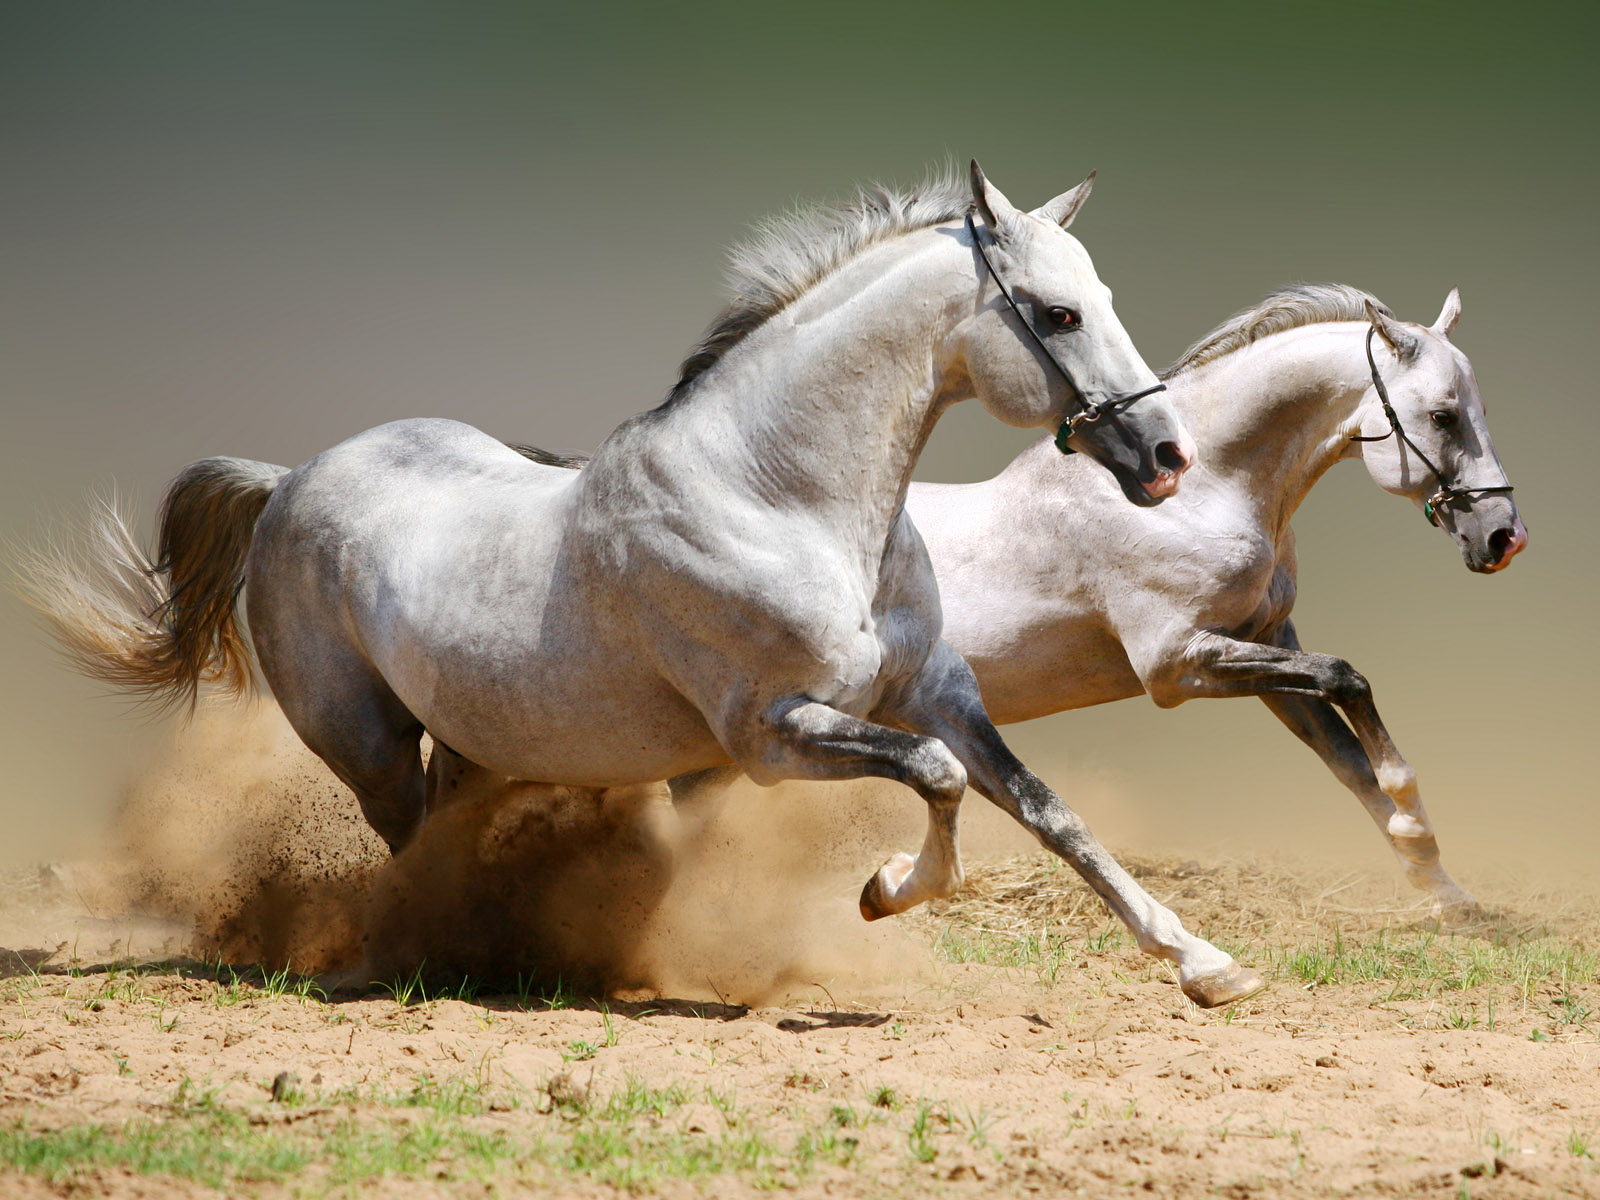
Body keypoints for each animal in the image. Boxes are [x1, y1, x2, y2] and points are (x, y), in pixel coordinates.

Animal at [21, 169, 1273, 1011]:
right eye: (1057, 313)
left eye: (1098, 295)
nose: (1165, 455)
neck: (780, 496)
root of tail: (288, 480)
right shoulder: (770, 735)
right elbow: (937, 782)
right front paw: (882, 890)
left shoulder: (936, 692)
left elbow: (1048, 812)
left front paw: (1207, 967)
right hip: (364, 741)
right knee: (408, 844)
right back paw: (423, 955)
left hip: (473, 738)